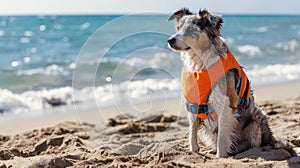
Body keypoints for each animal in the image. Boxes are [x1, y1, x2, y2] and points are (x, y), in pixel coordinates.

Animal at [168, 7, 276, 158]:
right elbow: (192, 130)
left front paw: (220, 157)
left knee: (250, 143)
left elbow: (222, 137)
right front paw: (194, 150)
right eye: (178, 28)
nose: (170, 40)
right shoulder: (192, 103)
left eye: (191, 29)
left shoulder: (226, 104)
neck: (200, 64)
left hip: (256, 119)